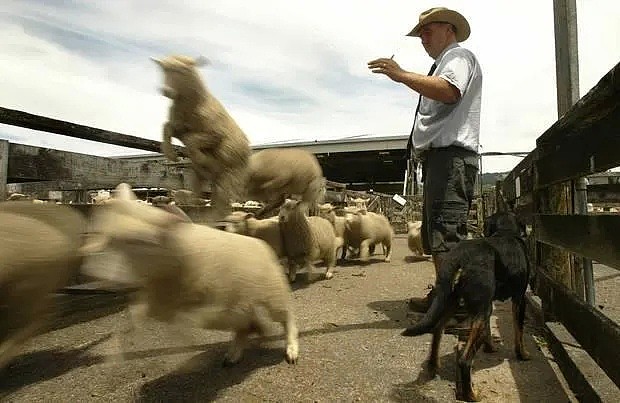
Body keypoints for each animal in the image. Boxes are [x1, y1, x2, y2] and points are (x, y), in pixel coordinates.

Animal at [81, 185, 300, 368]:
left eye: (138, 241)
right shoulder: (160, 302)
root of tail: (261, 246)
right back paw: (234, 353)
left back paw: (291, 349)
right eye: (105, 235)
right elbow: (139, 317)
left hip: (272, 295)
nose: (89, 269)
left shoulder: (213, 300)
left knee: (286, 316)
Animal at [151, 54, 251, 221]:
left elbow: (192, 140)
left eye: (183, 70)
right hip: (202, 177)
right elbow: (166, 127)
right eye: (163, 69)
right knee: (208, 197)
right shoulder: (179, 128)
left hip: (231, 175)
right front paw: (170, 154)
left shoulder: (215, 134)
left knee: (224, 203)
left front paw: (201, 158)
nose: (166, 91)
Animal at [404, 213, 532, 402]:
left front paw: (490, 347)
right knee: (464, 360)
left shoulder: (488, 304)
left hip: (452, 300)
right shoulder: (519, 299)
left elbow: (488, 331)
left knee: (438, 328)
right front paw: (522, 354)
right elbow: (519, 332)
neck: (506, 232)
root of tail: (460, 253)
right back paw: (471, 395)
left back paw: (433, 365)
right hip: (478, 310)